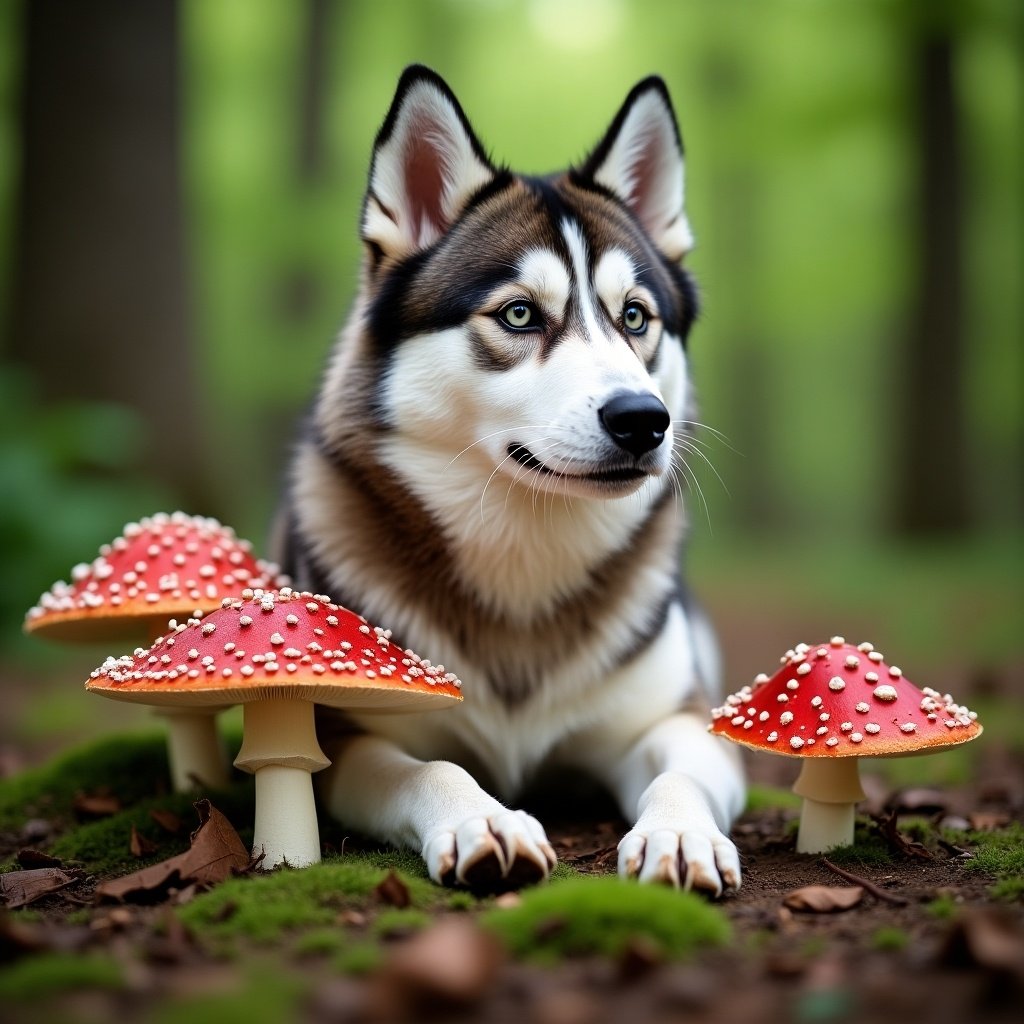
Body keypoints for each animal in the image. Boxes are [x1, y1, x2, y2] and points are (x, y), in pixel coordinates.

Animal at [278, 68, 745, 892]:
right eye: (521, 314)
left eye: (636, 317)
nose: (643, 419)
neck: (525, 553)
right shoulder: (348, 738)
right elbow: (431, 768)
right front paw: (483, 818)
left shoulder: (675, 721)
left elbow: (681, 771)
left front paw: (681, 832)